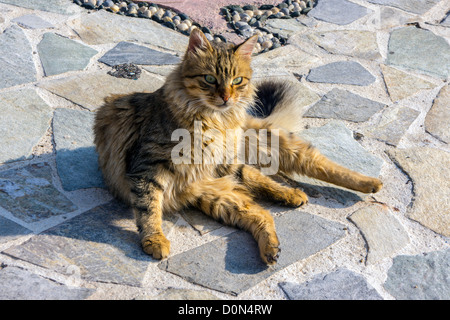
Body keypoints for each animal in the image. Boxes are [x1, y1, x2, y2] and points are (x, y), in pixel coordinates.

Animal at [95, 29, 384, 264]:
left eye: (236, 81)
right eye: (210, 79)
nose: (226, 97)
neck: (215, 120)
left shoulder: (218, 162)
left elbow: (148, 208)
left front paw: (154, 240)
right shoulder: (147, 168)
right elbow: (149, 209)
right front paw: (155, 239)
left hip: (267, 150)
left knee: (316, 166)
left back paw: (366, 183)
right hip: (216, 195)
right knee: (261, 212)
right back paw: (272, 246)